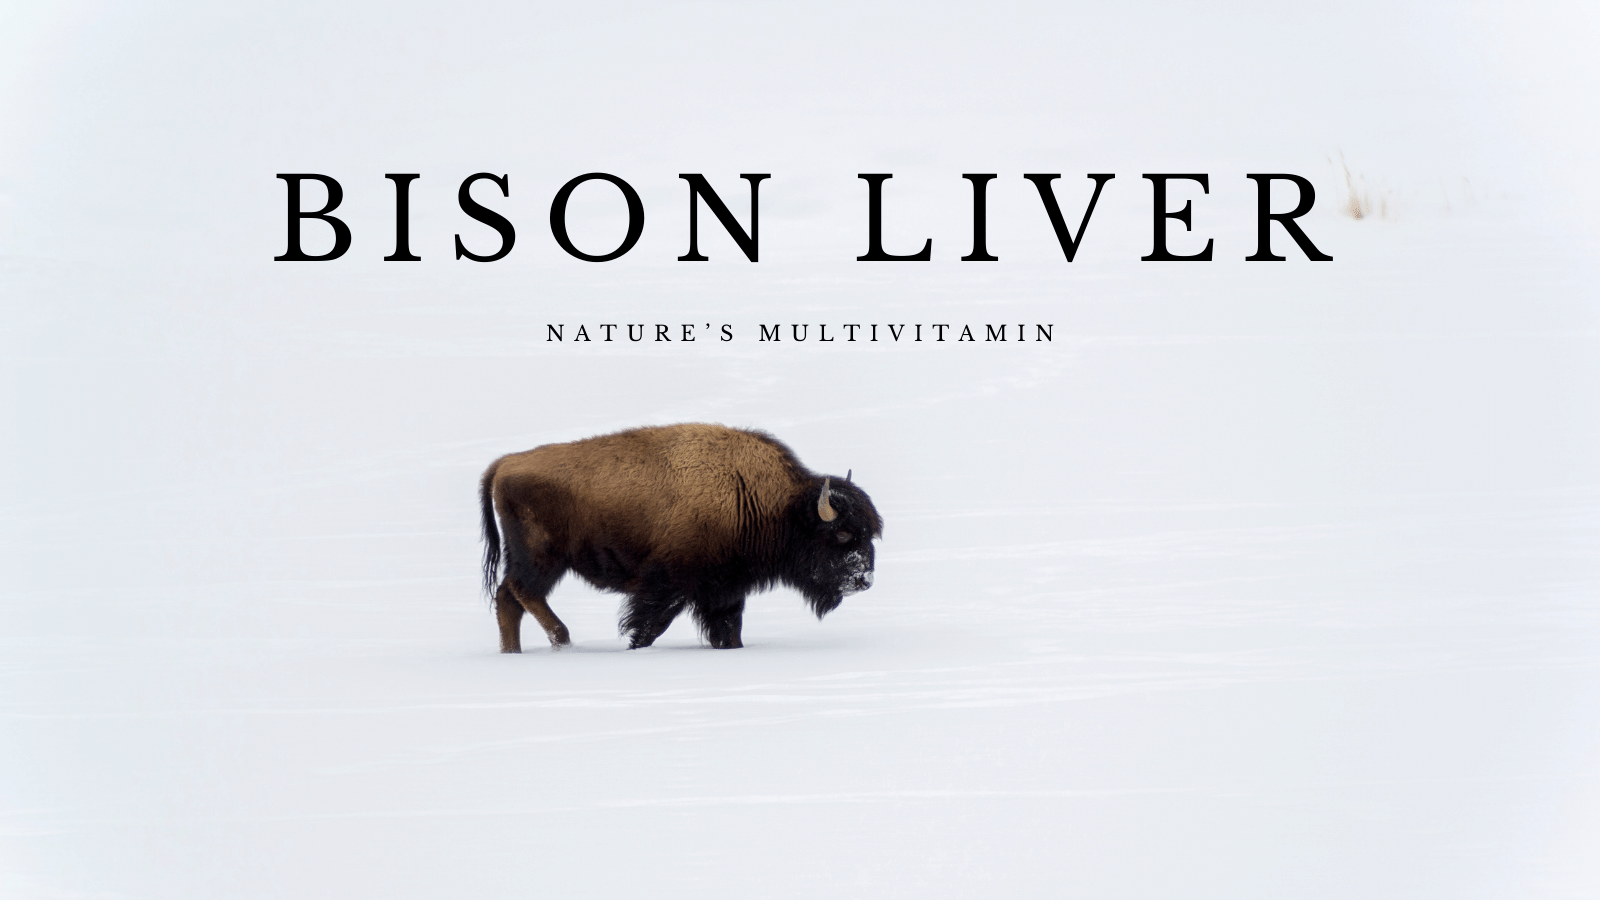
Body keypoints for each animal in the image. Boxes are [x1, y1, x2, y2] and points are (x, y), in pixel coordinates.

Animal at [479, 423, 883, 651]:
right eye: (843, 533)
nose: (864, 580)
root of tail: (506, 463)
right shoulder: (668, 587)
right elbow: (648, 627)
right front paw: (635, 648)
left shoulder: (725, 591)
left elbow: (729, 632)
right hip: (542, 558)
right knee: (521, 593)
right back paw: (562, 639)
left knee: (508, 600)